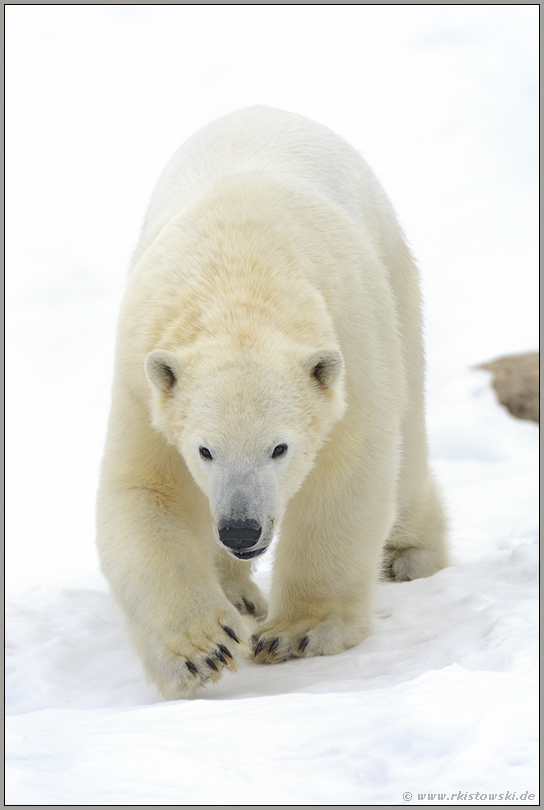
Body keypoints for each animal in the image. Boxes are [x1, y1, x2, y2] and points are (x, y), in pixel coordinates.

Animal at [95, 107, 448, 696]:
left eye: (279, 448)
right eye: (205, 450)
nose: (242, 530)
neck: (239, 275)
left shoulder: (350, 348)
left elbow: (347, 477)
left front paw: (298, 632)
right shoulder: (144, 377)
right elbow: (148, 490)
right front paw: (203, 649)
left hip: (395, 275)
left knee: (408, 446)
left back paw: (412, 554)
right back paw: (236, 592)